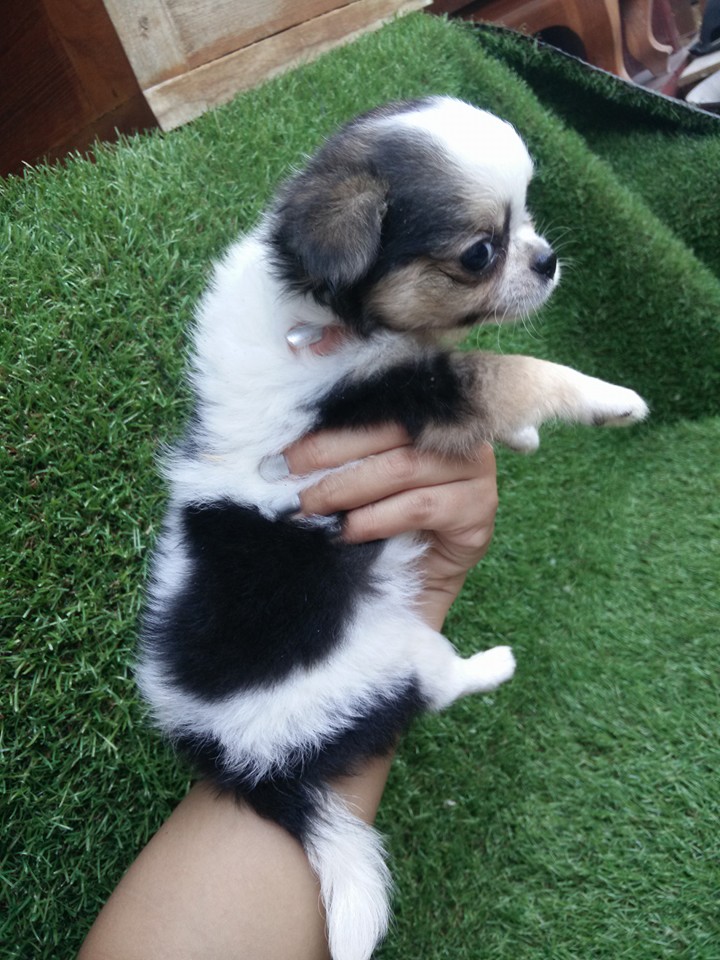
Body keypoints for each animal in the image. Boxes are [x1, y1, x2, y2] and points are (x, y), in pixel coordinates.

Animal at [137, 96, 648, 960]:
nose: (547, 260)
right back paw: (493, 664)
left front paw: (523, 438)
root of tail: (240, 764)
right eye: (480, 252)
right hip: (382, 656)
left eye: (527, 213)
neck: (316, 308)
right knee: (436, 687)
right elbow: (514, 371)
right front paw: (611, 399)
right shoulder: (406, 390)